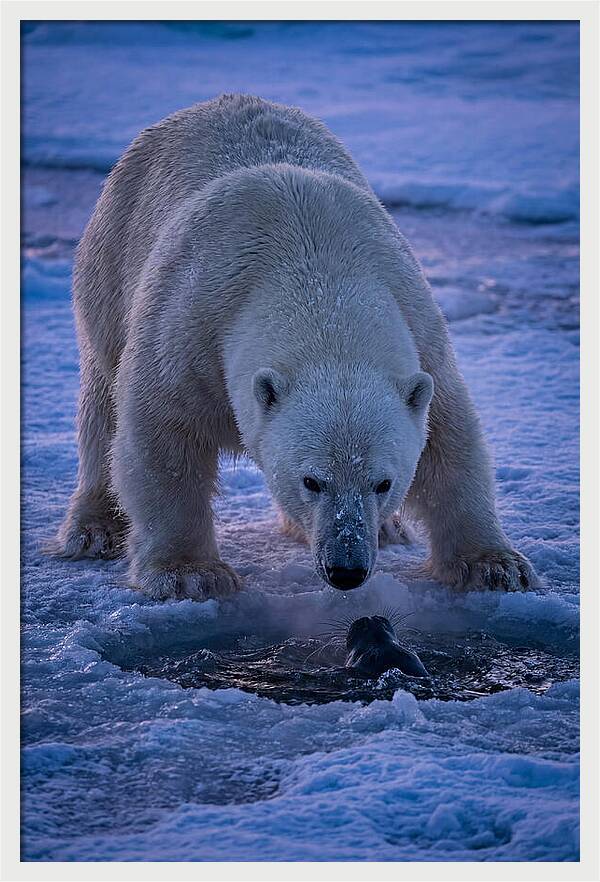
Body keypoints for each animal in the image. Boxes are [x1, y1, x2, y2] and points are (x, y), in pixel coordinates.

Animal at [54, 93, 539, 599]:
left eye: (383, 482)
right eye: (312, 481)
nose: (347, 569)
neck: (316, 269)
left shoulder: (420, 329)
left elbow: (450, 440)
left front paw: (496, 566)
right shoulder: (189, 326)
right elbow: (163, 437)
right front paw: (190, 573)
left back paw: (389, 530)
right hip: (110, 261)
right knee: (102, 400)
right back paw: (94, 529)